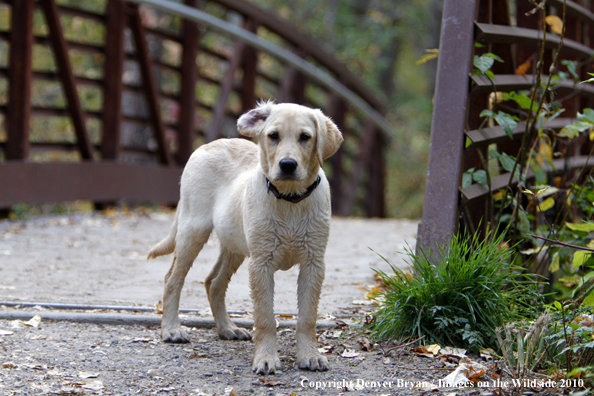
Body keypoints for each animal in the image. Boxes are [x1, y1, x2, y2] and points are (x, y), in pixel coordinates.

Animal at [147, 101, 342, 374]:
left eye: (305, 137)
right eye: (273, 136)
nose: (288, 164)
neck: (290, 199)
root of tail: (207, 145)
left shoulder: (314, 263)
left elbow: (307, 316)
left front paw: (310, 355)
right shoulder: (261, 263)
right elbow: (265, 317)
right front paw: (266, 358)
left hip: (234, 245)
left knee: (213, 282)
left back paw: (227, 329)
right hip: (193, 230)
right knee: (172, 279)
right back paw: (172, 330)